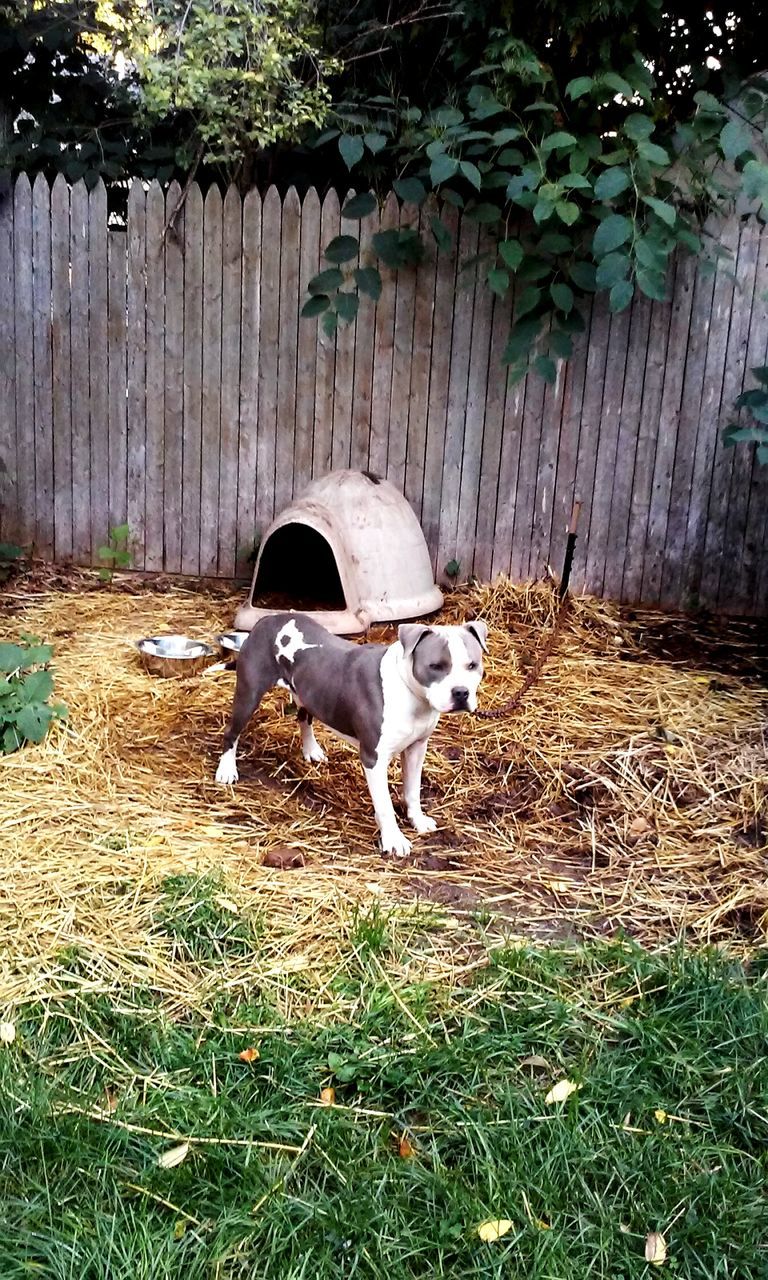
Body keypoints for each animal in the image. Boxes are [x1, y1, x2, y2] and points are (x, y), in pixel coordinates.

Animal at [212, 611, 486, 855]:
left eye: (472, 665)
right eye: (435, 666)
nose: (461, 692)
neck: (410, 693)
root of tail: (266, 620)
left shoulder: (417, 748)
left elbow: (413, 790)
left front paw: (418, 820)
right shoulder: (374, 758)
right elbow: (385, 804)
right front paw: (394, 840)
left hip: (307, 692)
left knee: (304, 718)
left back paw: (311, 751)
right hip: (249, 694)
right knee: (231, 732)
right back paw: (227, 770)